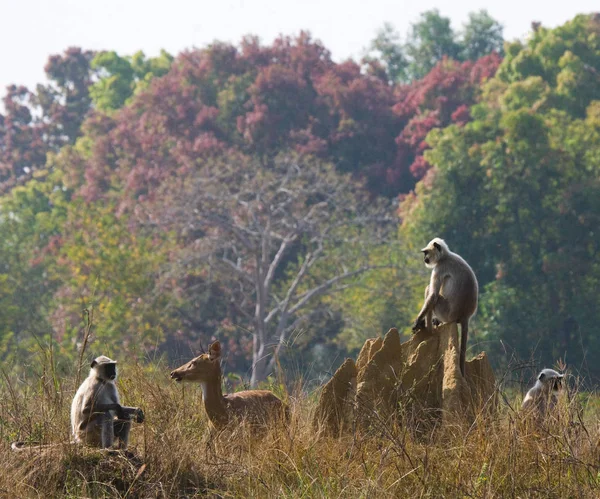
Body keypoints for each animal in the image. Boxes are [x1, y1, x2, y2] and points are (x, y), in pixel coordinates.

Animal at [412, 238, 478, 376]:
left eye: (426, 252)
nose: (424, 259)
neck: (445, 256)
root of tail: (465, 315)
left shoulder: (439, 268)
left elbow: (433, 295)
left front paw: (417, 321)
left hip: (445, 312)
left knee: (430, 291)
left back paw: (428, 329)